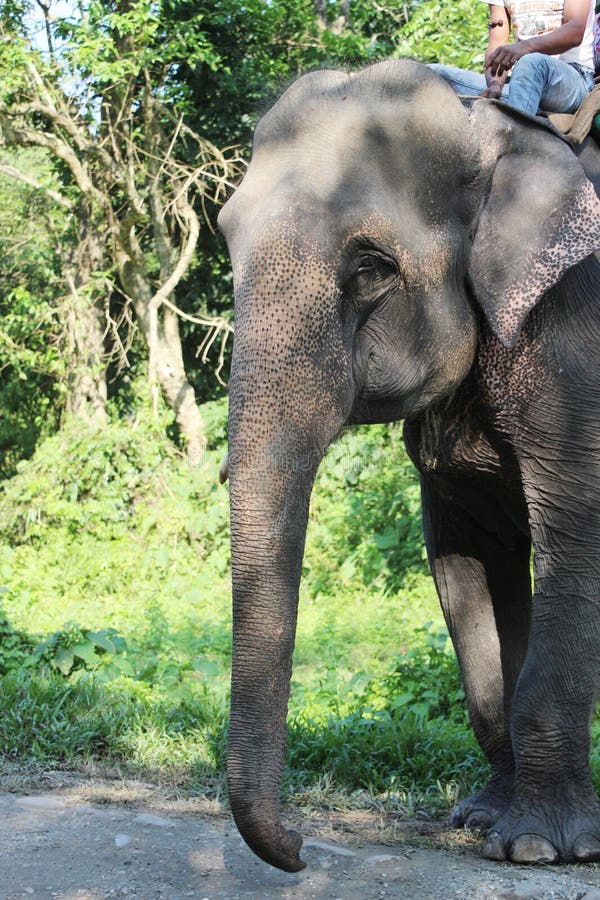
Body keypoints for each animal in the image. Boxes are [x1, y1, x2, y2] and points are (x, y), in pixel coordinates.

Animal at [219, 58, 600, 872]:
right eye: (227, 239)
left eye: (370, 268)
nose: (300, 847)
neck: (488, 130)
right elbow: (466, 557)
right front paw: (481, 819)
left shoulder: (576, 333)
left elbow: (576, 533)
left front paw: (539, 847)